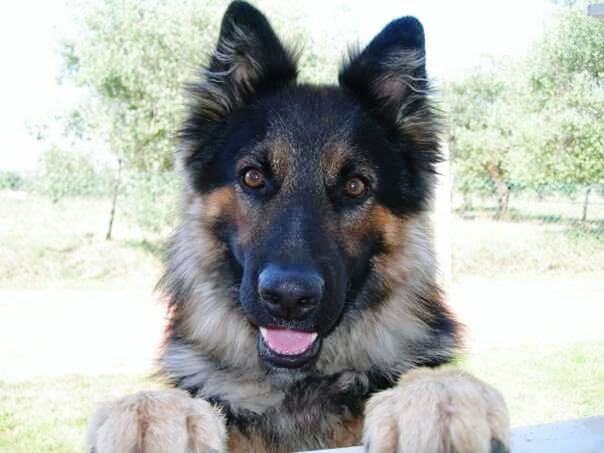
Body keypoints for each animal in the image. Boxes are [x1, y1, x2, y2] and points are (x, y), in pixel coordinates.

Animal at [86, 1, 510, 450]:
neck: (297, 387)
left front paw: (439, 397)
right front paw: (152, 411)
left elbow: (426, 379)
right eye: (254, 177)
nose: (289, 298)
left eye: (355, 186)